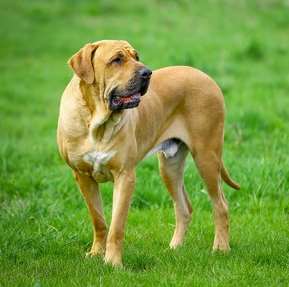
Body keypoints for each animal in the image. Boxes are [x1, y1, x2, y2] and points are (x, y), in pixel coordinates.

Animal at [56, 39, 238, 266]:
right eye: (116, 60)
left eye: (136, 56)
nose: (147, 73)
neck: (97, 123)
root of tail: (205, 76)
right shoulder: (82, 176)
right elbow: (98, 220)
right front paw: (96, 254)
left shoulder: (125, 176)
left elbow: (117, 226)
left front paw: (113, 262)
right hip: (169, 167)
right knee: (184, 208)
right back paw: (174, 247)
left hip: (207, 157)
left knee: (220, 205)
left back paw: (221, 248)